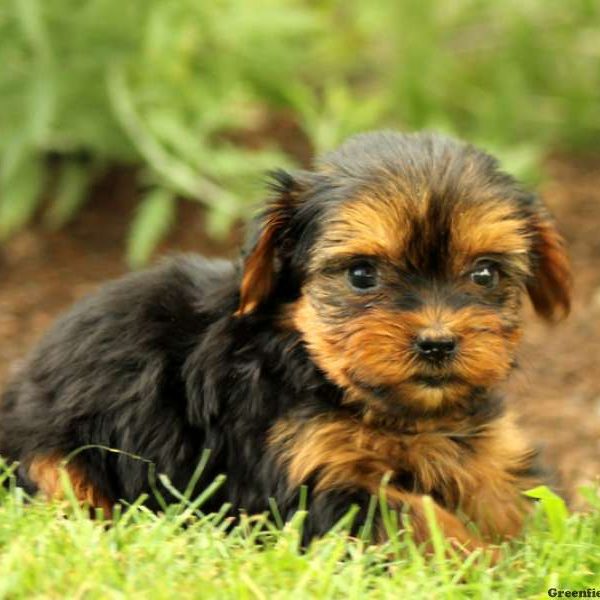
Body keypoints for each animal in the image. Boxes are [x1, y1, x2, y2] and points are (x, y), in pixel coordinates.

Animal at [0, 131, 572, 552]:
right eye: (361, 275)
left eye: (484, 274)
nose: (437, 343)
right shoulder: (306, 478)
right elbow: (413, 517)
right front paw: (482, 563)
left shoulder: (485, 446)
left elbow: (514, 492)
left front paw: (537, 547)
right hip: (51, 453)